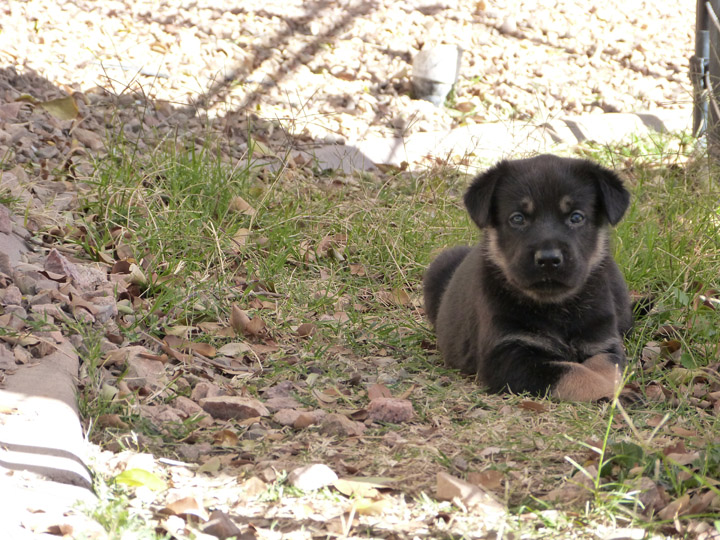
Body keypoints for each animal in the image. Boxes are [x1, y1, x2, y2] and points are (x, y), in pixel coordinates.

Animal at [424, 155, 632, 400]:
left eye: (576, 217)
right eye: (517, 219)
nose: (549, 259)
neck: (556, 308)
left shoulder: (604, 343)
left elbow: (608, 369)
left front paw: (620, 392)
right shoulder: (508, 356)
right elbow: (575, 373)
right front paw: (616, 395)